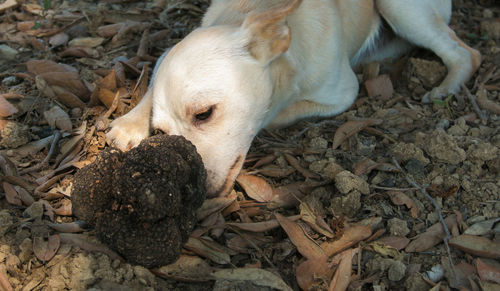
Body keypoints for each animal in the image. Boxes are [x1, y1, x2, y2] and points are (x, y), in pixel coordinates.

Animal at [105, 0, 480, 197]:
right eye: (162, 134)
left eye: (204, 114)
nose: (191, 188)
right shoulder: (167, 53)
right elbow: (155, 70)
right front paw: (131, 122)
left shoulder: (341, 94)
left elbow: (276, 112)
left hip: (401, 8)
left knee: (466, 53)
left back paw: (447, 86)